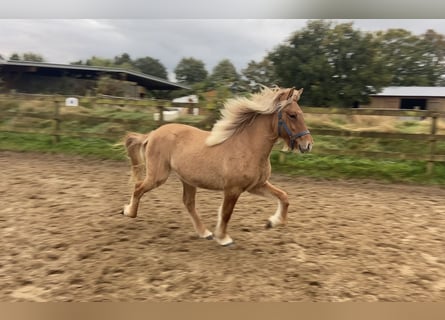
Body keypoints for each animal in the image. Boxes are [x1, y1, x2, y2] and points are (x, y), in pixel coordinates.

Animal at [121, 86, 312, 246]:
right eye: (292, 115)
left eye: (301, 113)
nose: (308, 145)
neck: (248, 147)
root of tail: (153, 134)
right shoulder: (233, 189)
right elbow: (226, 213)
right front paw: (223, 238)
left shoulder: (256, 185)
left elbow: (284, 197)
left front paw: (272, 222)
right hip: (158, 176)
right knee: (139, 188)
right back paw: (128, 212)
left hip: (187, 179)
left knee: (188, 203)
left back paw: (204, 232)